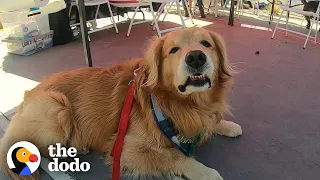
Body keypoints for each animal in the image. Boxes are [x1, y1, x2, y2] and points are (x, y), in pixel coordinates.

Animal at [0, 27, 240, 180]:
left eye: (206, 44)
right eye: (173, 50)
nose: (196, 57)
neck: (184, 105)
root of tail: (29, 93)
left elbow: (212, 121)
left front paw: (226, 125)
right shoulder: (126, 149)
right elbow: (175, 156)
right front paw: (206, 172)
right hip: (56, 106)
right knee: (36, 147)